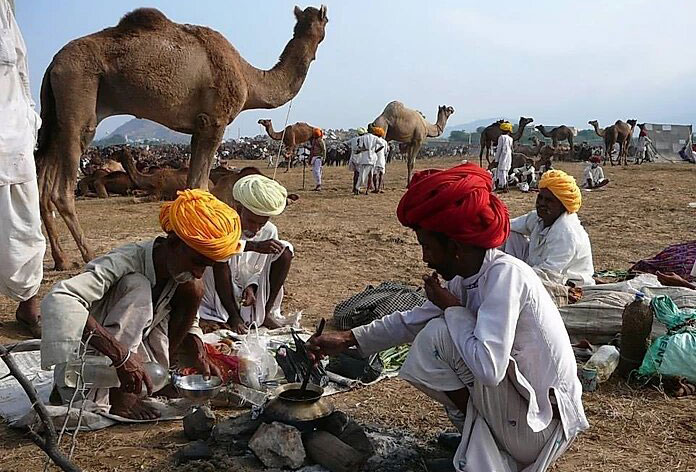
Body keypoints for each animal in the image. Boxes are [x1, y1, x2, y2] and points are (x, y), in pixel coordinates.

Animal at [36, 4, 330, 270]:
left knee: (42, 185)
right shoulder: (214, 121)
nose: (323, 27)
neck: (249, 79)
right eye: (324, 20)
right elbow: (201, 187)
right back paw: (88, 256)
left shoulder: (198, 127)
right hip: (78, 95)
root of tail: (53, 64)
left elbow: (191, 187)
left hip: (57, 116)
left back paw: (61, 260)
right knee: (61, 189)